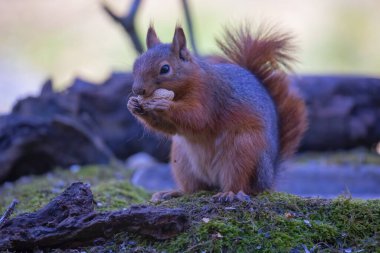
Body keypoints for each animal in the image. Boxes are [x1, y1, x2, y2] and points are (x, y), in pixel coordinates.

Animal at [126, 23, 308, 202]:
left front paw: (163, 104)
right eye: (135, 64)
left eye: (165, 68)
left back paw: (229, 193)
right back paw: (174, 192)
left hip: (242, 150)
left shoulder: (209, 96)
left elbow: (197, 118)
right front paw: (133, 105)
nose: (138, 90)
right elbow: (169, 128)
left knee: (240, 182)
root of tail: (269, 180)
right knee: (194, 189)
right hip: (182, 162)